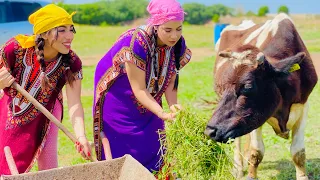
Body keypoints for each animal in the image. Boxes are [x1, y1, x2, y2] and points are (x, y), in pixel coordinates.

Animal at [205, 13, 318, 179]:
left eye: (248, 87)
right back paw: (238, 167)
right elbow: (256, 152)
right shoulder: (252, 118)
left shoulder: (303, 105)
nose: (210, 131)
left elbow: (298, 153)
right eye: (222, 86)